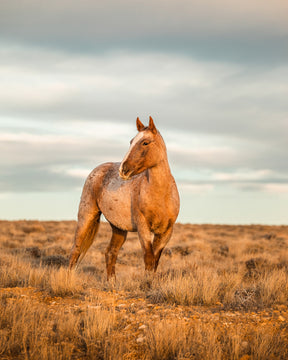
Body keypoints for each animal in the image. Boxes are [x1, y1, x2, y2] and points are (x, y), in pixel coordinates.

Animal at [68, 116, 179, 280]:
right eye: (131, 141)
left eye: (145, 142)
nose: (123, 170)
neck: (161, 196)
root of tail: (96, 170)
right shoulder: (143, 227)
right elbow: (148, 258)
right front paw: (147, 283)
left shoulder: (166, 232)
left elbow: (155, 261)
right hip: (86, 217)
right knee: (75, 249)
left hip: (118, 229)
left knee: (110, 252)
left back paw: (111, 282)